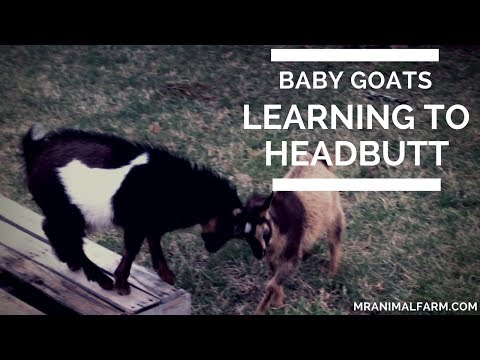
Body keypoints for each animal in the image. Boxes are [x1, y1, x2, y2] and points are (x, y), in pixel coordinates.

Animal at [21, 125, 248, 294]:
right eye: (231, 226)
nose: (212, 248)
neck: (178, 186)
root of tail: (34, 152)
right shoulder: (136, 224)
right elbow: (132, 250)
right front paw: (122, 285)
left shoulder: (151, 224)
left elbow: (154, 242)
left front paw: (166, 276)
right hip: (66, 210)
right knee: (61, 232)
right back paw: (100, 279)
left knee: (53, 229)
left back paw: (71, 261)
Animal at [244, 153, 344, 314]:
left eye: (264, 231)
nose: (258, 253)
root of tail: (319, 161)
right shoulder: (273, 256)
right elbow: (274, 276)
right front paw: (278, 300)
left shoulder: (291, 251)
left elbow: (273, 283)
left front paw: (264, 308)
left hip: (334, 213)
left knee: (334, 242)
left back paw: (331, 274)